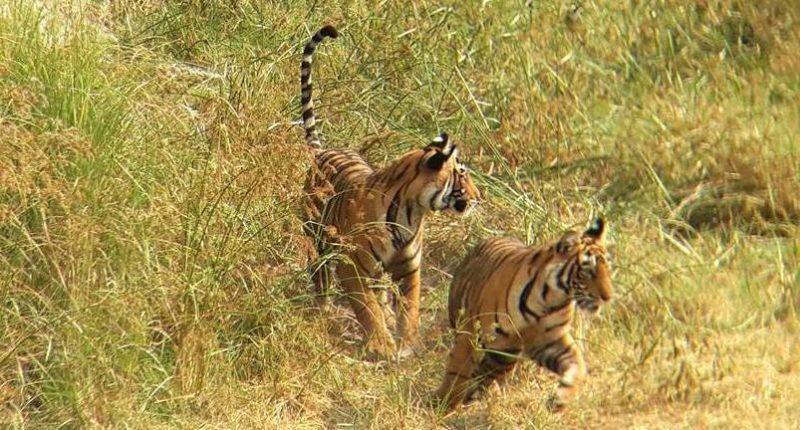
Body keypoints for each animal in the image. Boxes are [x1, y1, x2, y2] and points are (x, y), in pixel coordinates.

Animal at [298, 25, 482, 360]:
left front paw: (406, 342)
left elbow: (409, 307)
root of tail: (323, 149)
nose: (478, 197)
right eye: (462, 174)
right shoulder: (352, 265)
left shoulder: (409, 267)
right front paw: (381, 344)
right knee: (321, 275)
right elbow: (366, 308)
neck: (412, 211)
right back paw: (323, 308)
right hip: (316, 237)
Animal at [432, 218, 612, 411]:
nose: (608, 297)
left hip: (506, 354)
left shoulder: (548, 340)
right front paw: (444, 404)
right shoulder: (470, 332)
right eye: (588, 271)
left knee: (487, 372)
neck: (551, 299)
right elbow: (457, 369)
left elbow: (578, 364)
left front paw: (561, 398)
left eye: (608, 269)